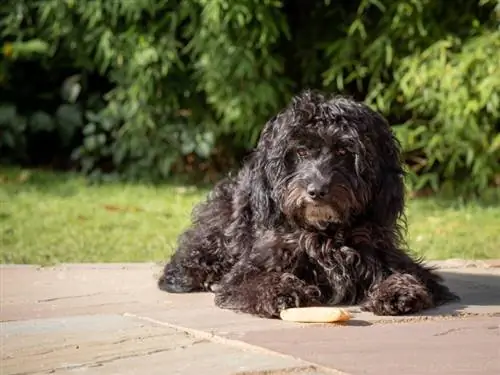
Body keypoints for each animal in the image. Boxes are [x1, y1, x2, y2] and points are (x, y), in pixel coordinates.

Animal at [158, 89, 458, 318]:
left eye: (344, 151)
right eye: (301, 152)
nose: (317, 190)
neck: (325, 233)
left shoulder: (385, 253)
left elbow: (410, 276)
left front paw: (399, 291)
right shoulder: (250, 269)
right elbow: (256, 281)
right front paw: (281, 291)